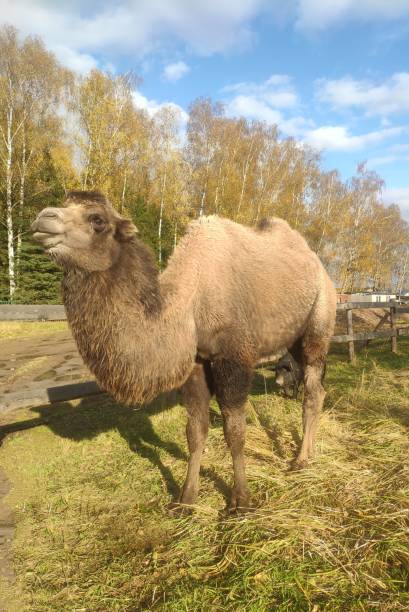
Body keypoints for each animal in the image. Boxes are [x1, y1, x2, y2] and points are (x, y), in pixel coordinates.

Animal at [31, 190, 336, 512]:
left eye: (97, 219)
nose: (42, 218)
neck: (188, 303)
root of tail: (321, 268)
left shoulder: (233, 356)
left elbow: (234, 430)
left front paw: (240, 501)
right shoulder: (196, 362)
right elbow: (195, 430)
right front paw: (186, 499)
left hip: (318, 324)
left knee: (313, 390)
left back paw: (301, 460)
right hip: (293, 338)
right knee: (315, 387)